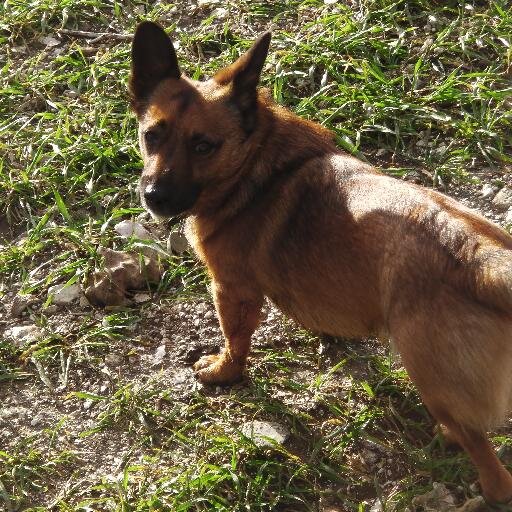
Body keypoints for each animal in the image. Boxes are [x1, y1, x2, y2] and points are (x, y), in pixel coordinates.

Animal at [129, 21, 512, 504]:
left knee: (491, 463)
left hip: (433, 377)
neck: (255, 161)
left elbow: (236, 341)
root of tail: (482, 260)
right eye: (152, 135)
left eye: (204, 146)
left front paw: (224, 371)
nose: (154, 197)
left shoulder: (233, 290)